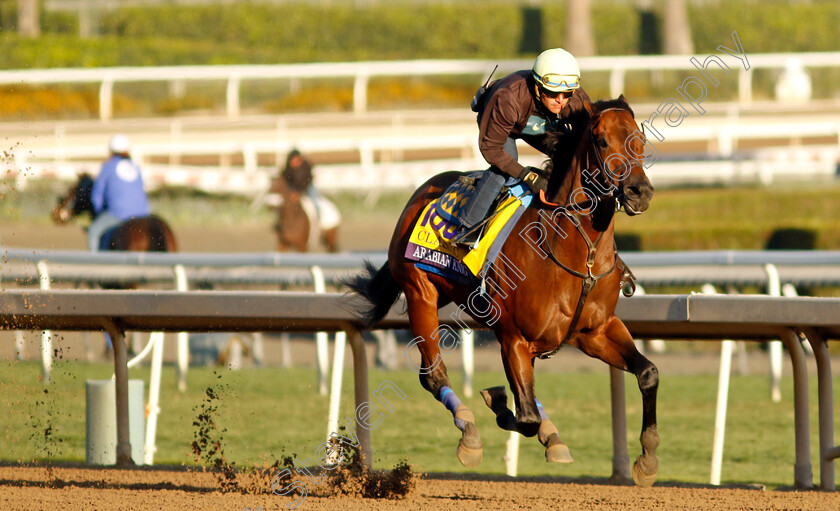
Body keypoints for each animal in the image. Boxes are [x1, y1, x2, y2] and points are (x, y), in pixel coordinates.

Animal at [344, 98, 660, 486]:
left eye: (640, 140)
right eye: (601, 141)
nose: (639, 192)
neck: (574, 253)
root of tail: (421, 192)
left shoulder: (596, 331)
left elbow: (647, 373)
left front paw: (647, 459)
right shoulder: (514, 338)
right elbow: (524, 417)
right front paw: (496, 400)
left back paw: (550, 436)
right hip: (421, 293)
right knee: (433, 374)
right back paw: (470, 432)